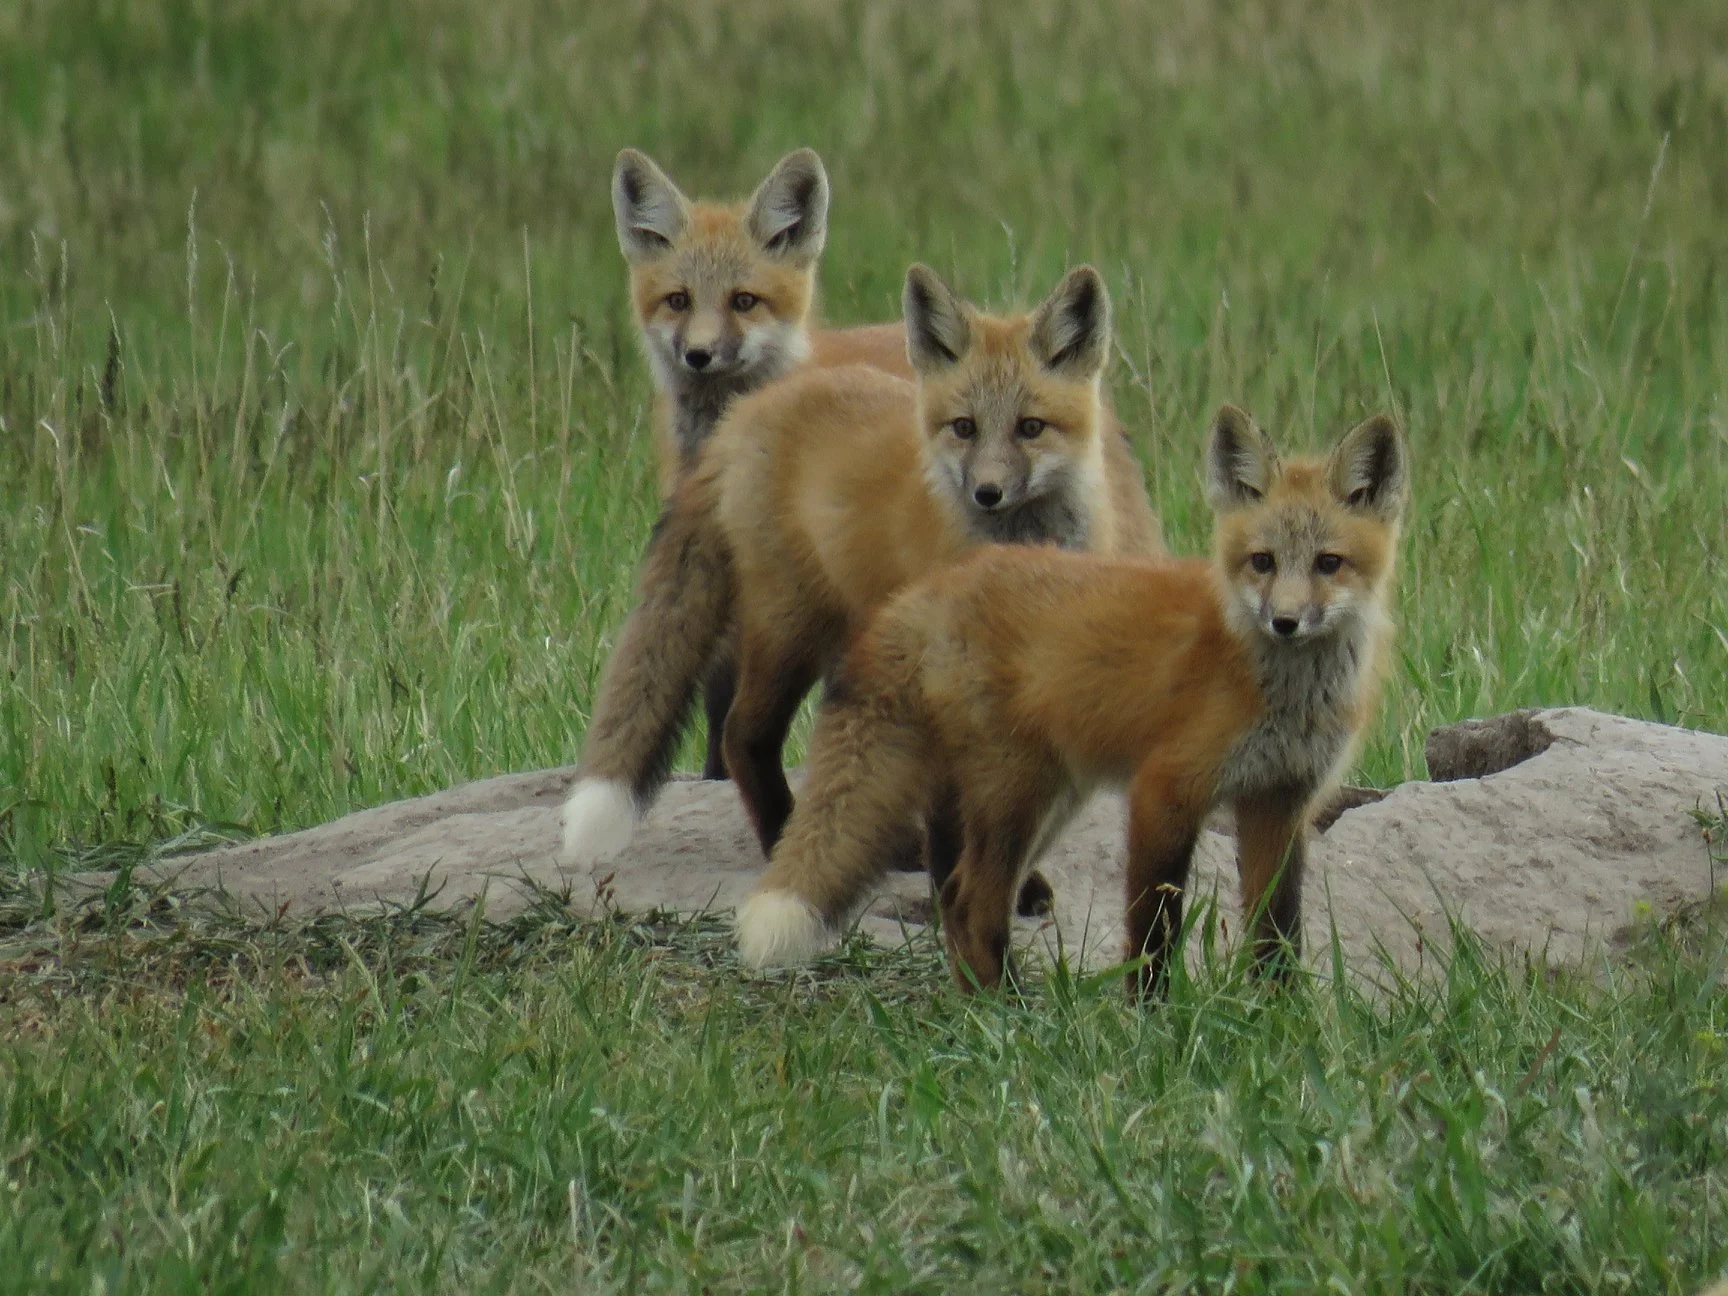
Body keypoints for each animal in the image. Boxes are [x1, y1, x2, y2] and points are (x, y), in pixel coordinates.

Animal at [562, 263, 1166, 910]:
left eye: (1031, 428)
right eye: (965, 428)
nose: (987, 493)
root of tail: (750, 411)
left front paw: (1011, 885)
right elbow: (954, 808)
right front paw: (958, 889)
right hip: (793, 628)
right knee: (740, 734)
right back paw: (782, 839)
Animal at [734, 405, 1408, 997]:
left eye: (1329, 563)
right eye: (1262, 562)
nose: (1285, 622)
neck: (1281, 690)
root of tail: (929, 588)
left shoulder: (1280, 800)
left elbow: (1277, 936)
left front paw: (1281, 1017)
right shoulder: (1165, 790)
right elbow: (1153, 932)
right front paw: (1153, 1020)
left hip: (1049, 798)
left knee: (952, 895)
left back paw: (981, 1007)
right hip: (1017, 792)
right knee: (972, 903)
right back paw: (1011, 1014)